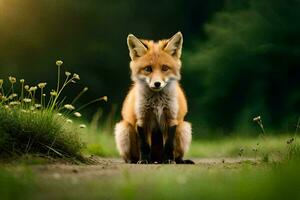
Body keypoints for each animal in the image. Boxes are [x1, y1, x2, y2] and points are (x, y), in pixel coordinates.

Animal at [113, 32, 193, 164]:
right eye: (148, 69)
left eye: (165, 68)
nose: (157, 84)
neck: (157, 103)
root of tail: (156, 159)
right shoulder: (142, 118)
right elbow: (144, 145)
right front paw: (144, 160)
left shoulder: (171, 118)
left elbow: (169, 146)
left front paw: (169, 160)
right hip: (124, 128)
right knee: (128, 156)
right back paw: (134, 160)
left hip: (184, 128)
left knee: (178, 154)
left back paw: (177, 160)